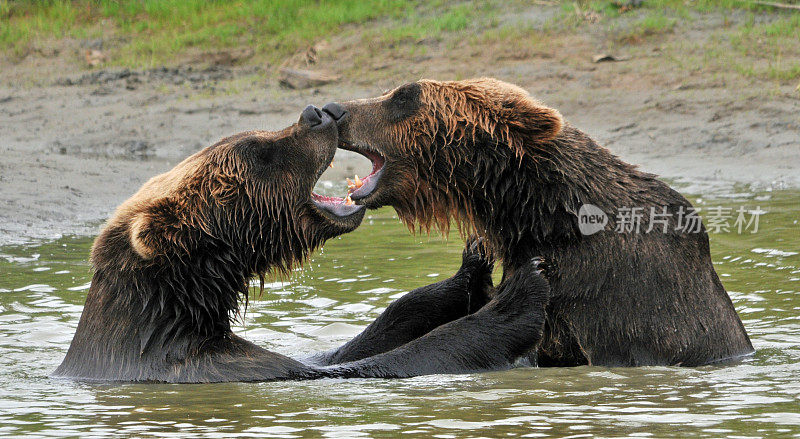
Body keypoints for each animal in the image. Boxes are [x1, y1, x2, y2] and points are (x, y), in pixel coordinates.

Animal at [51, 105, 552, 384]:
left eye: (251, 137)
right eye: (258, 151)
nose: (314, 113)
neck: (180, 310)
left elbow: (350, 348)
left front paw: (473, 266)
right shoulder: (212, 366)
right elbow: (397, 360)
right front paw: (522, 289)